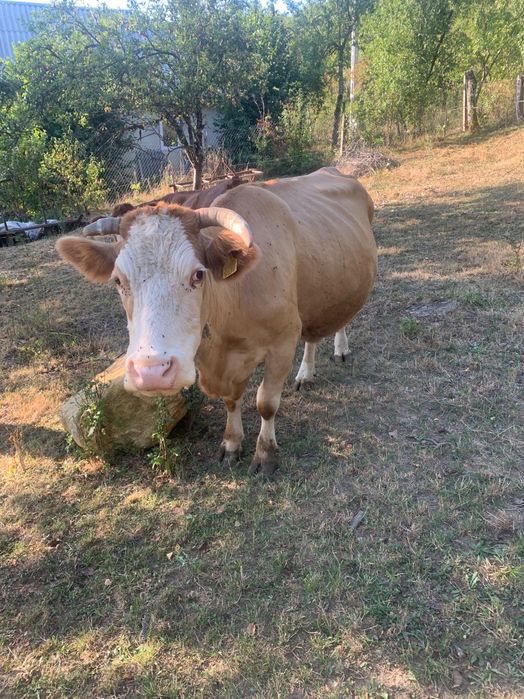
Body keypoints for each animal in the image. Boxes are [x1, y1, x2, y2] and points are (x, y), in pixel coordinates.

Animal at [56, 167, 377, 475]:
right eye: (118, 280)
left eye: (198, 274)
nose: (152, 373)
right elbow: (231, 399)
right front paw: (232, 443)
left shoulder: (283, 341)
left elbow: (266, 402)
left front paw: (265, 454)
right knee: (312, 333)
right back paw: (305, 373)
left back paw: (340, 348)